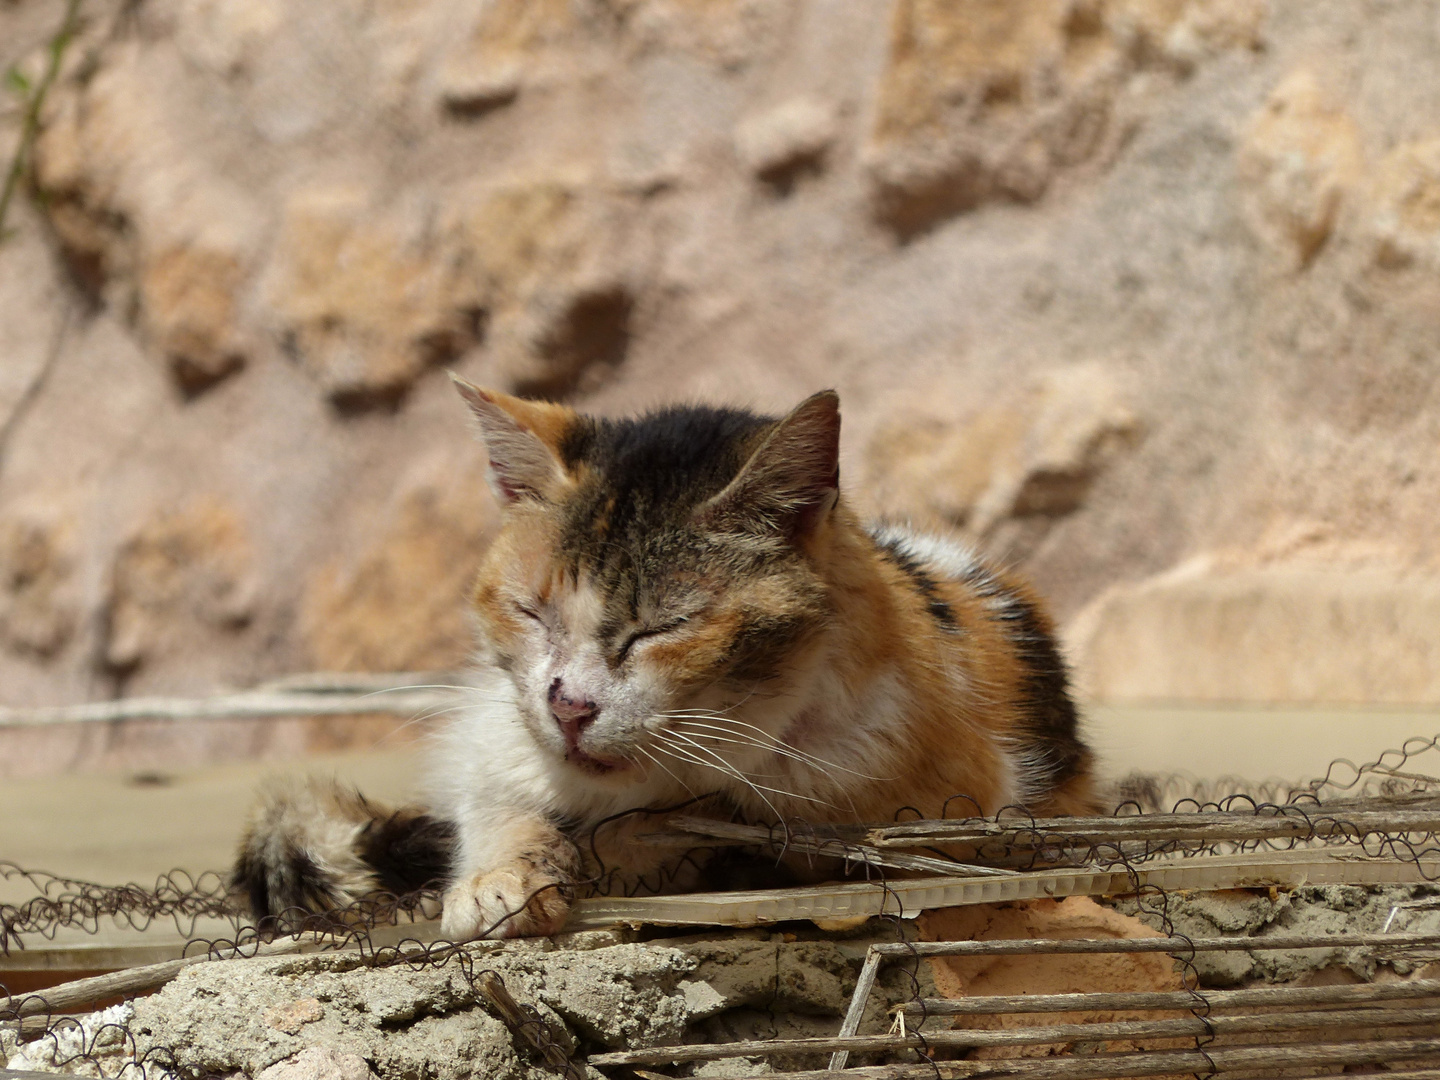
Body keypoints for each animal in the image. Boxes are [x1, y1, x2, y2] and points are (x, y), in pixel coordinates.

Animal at [230, 380, 1094, 938]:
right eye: (531, 612)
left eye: (660, 628)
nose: (568, 705)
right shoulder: (493, 732)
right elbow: (493, 800)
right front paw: (499, 881)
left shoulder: (930, 800)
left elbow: (687, 837)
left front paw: (599, 855)